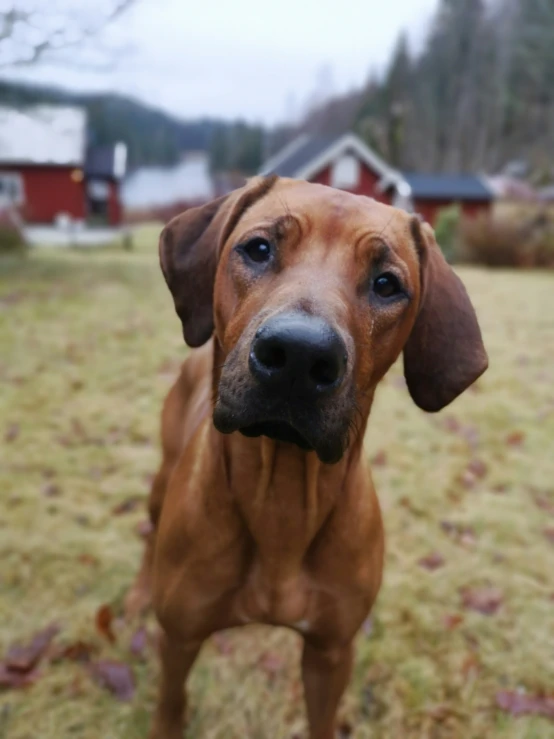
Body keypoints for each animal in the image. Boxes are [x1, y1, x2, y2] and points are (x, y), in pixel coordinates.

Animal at [126, 176, 488, 736]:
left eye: (387, 284)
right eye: (258, 249)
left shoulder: (330, 650)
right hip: (161, 482)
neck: (282, 501)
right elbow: (170, 704)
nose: (299, 355)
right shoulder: (180, 637)